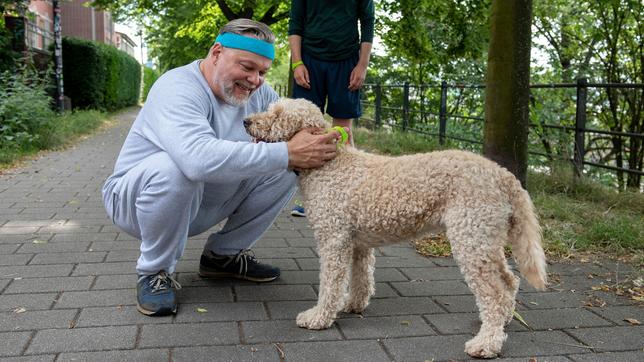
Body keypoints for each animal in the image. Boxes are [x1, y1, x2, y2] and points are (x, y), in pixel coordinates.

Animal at [244, 97, 544, 358]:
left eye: (278, 115)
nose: (247, 121)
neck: (331, 165)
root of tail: (503, 175)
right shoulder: (358, 244)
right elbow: (361, 278)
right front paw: (353, 305)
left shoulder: (333, 240)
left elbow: (330, 285)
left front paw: (319, 317)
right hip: (485, 237)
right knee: (510, 281)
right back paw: (503, 321)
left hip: (471, 237)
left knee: (496, 293)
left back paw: (486, 343)